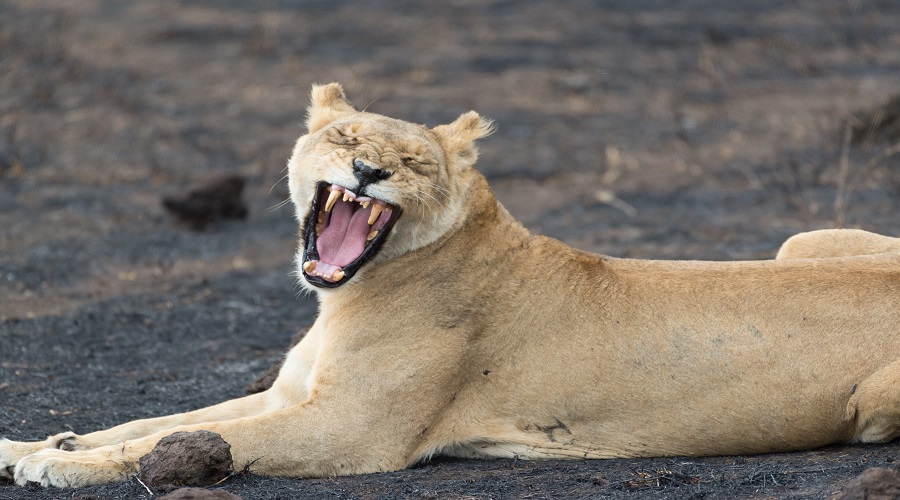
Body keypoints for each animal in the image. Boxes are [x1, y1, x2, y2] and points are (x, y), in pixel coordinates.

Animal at [4, 82, 900, 488]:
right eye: (346, 137)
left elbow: (182, 439)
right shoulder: (290, 396)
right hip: (800, 240)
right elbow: (154, 421)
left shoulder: (350, 435)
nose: (368, 170)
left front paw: (62, 471)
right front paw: (36, 446)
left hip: (873, 402)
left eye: (411, 162)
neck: (344, 295)